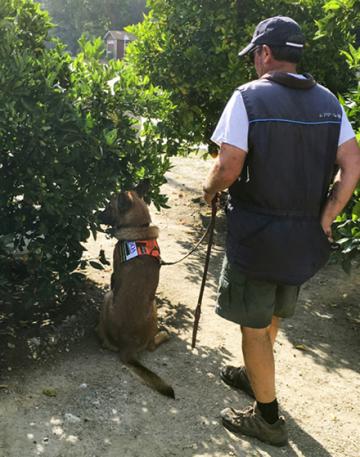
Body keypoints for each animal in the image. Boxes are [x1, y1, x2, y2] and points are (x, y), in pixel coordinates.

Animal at [96, 180, 174, 398]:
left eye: (109, 207)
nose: (96, 215)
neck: (138, 228)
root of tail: (127, 348)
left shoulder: (114, 276)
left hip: (109, 298)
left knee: (148, 346)